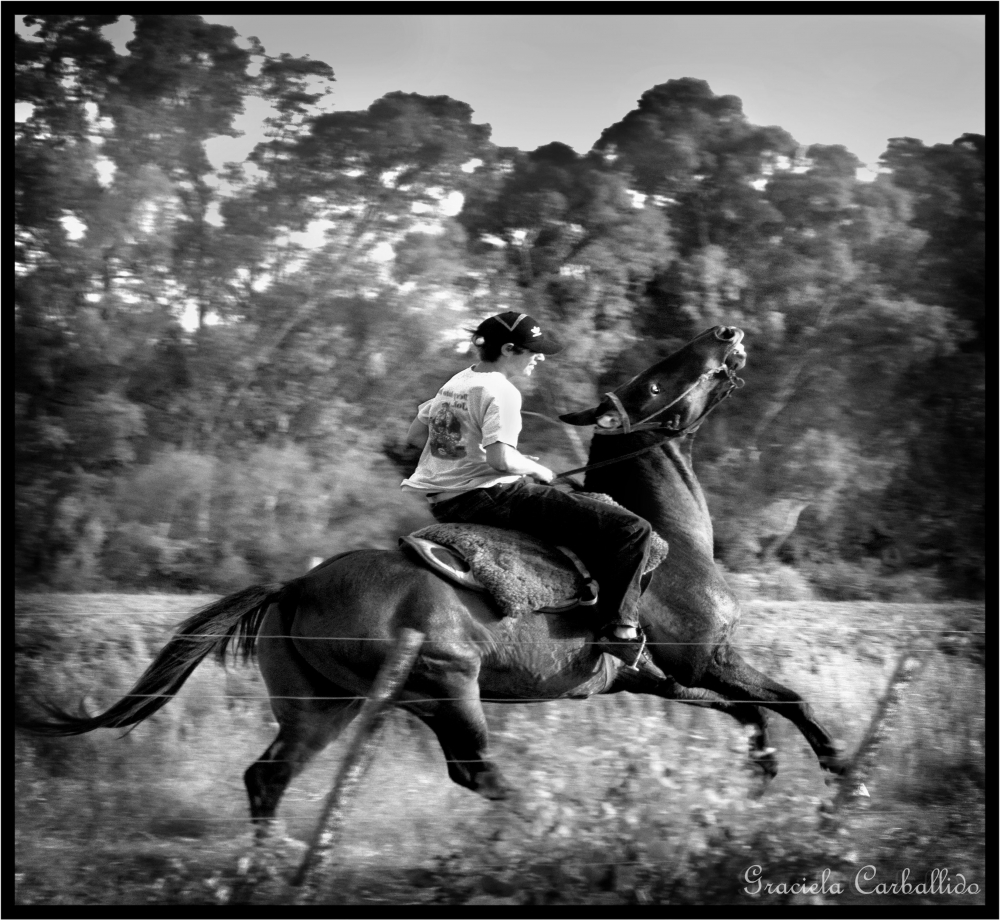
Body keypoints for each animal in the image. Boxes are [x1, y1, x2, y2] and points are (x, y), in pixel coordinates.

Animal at [21, 328, 844, 836]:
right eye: (652, 384)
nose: (727, 334)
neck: (671, 539)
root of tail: (292, 589)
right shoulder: (704, 659)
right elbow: (786, 699)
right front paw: (841, 776)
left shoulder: (661, 678)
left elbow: (752, 714)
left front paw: (766, 780)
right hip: (449, 689)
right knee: (478, 774)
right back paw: (539, 827)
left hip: (324, 707)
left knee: (266, 777)